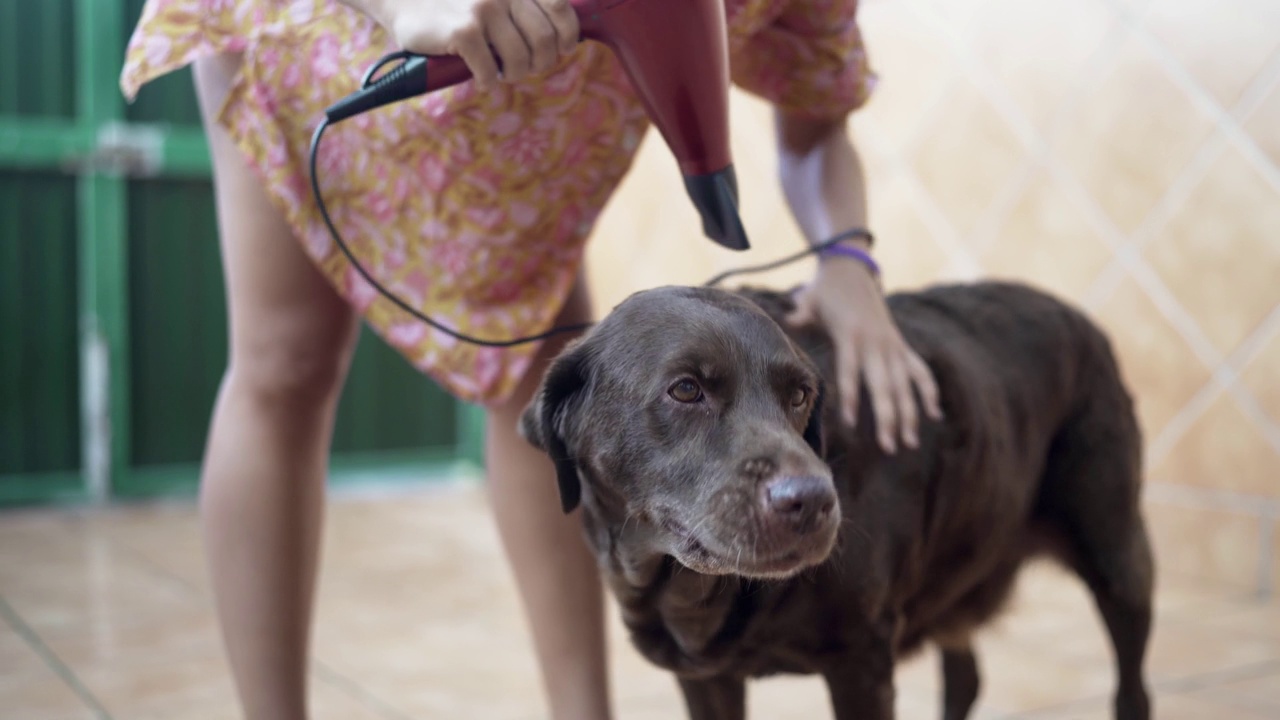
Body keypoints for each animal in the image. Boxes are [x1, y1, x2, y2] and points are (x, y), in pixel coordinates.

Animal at [514, 279, 1157, 717]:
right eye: (686, 389)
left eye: (800, 395)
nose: (813, 502)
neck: (690, 591)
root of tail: (1077, 314)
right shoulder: (703, 677)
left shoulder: (860, 660)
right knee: (966, 677)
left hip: (1117, 557)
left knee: (1132, 685)